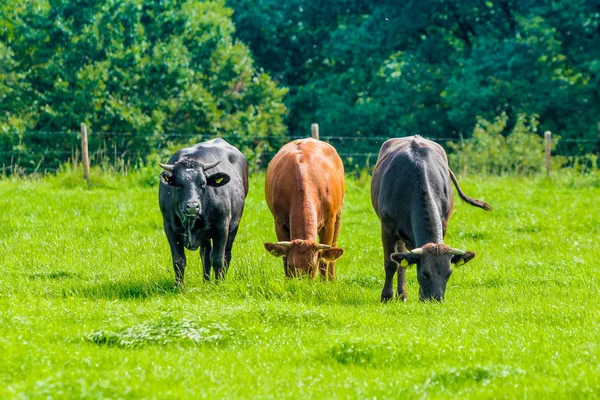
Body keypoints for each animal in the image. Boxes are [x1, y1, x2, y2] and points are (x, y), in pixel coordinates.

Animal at [157, 139, 248, 286]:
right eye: (179, 184)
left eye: (203, 183)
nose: (192, 206)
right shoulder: (169, 227)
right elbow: (178, 260)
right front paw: (179, 286)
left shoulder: (222, 227)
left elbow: (218, 258)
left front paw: (219, 285)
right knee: (205, 255)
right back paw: (206, 281)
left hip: (234, 226)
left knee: (226, 254)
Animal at [264, 138, 344, 278]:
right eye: (291, 266)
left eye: (312, 268)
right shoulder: (279, 223)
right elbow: (284, 257)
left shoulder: (329, 223)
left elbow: (324, 261)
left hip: (338, 214)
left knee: (334, 247)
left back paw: (331, 278)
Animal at [370, 136, 492, 302]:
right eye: (425, 274)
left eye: (449, 274)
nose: (436, 299)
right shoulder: (387, 227)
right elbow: (390, 263)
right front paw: (386, 297)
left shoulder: (444, 223)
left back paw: (402, 294)